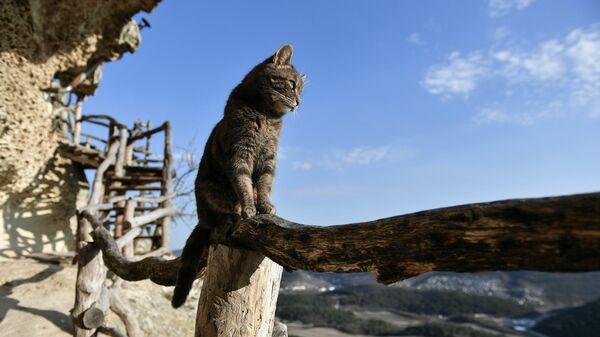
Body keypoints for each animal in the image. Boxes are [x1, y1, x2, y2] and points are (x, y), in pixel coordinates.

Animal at [172, 43, 304, 306]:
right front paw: (250, 208)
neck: (267, 116)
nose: (299, 102)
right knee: (216, 221)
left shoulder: (268, 159)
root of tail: (201, 218)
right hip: (210, 192)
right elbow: (244, 184)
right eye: (292, 84)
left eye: (302, 89)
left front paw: (265, 206)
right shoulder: (240, 153)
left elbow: (264, 185)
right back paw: (229, 218)